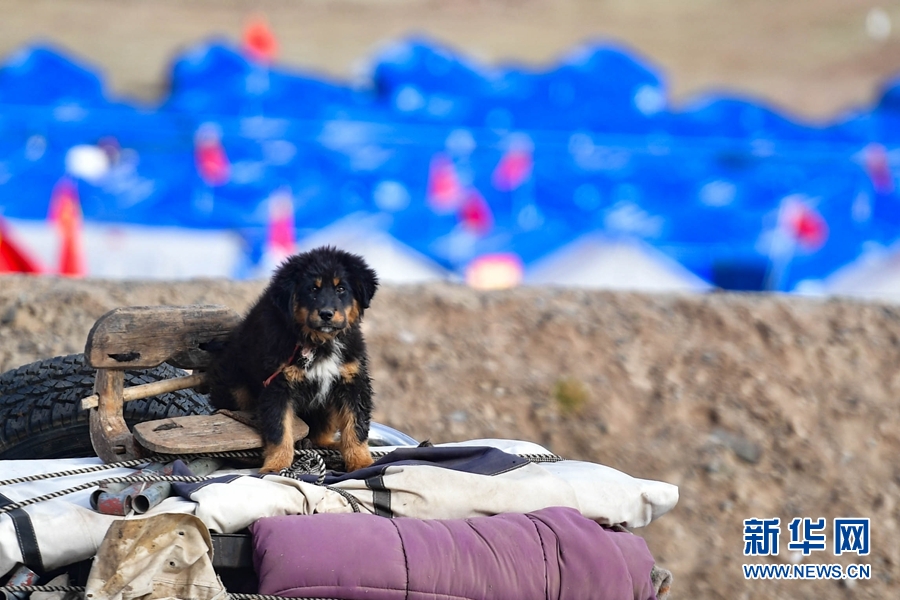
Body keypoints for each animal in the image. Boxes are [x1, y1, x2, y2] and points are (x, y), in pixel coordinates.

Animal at [206, 246, 379, 474]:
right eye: (312, 289)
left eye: (341, 289)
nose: (326, 314)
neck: (319, 343)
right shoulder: (277, 385)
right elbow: (279, 430)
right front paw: (276, 465)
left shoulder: (352, 381)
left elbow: (355, 426)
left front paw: (361, 462)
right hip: (235, 389)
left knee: (321, 432)